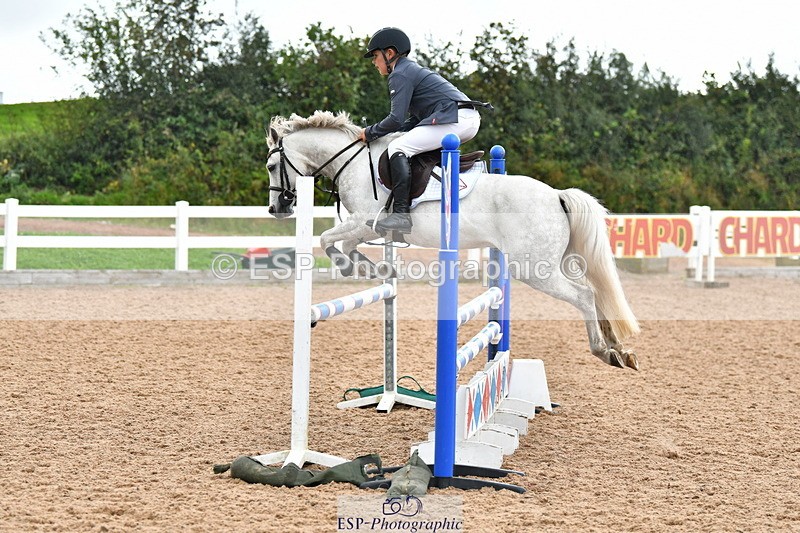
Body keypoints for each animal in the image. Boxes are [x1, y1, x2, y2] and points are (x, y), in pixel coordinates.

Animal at [266, 110, 639, 370]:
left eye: (271, 165)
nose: (276, 208)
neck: (353, 163)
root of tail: (556, 196)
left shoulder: (367, 222)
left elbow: (329, 239)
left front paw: (353, 267)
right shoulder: (370, 228)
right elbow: (341, 243)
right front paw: (370, 269)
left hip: (534, 268)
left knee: (584, 295)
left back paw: (604, 351)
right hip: (550, 262)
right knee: (596, 291)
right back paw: (620, 349)